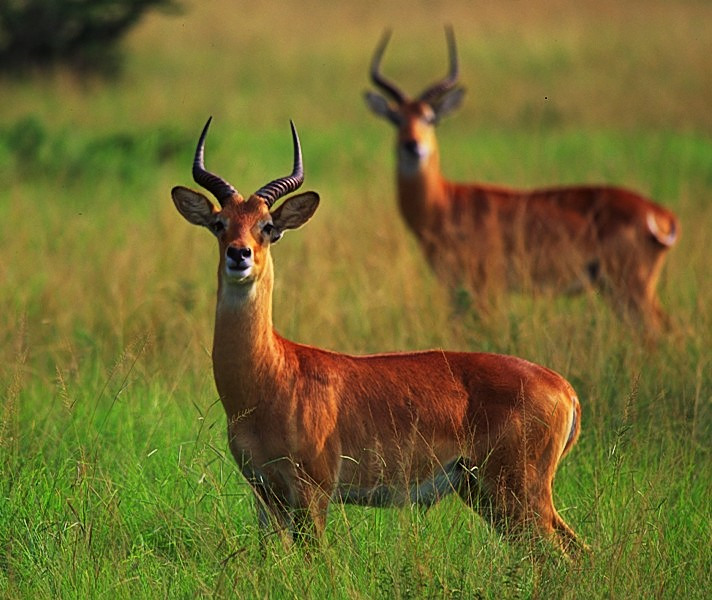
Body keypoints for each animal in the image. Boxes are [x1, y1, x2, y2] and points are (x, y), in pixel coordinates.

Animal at [171, 117, 585, 556]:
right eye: (220, 224)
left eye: (267, 227)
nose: (240, 254)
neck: (271, 375)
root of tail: (564, 389)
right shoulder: (265, 494)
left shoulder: (314, 493)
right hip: (486, 494)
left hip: (517, 494)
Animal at [365, 27, 679, 330]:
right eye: (395, 118)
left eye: (431, 118)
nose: (412, 146)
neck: (445, 205)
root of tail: (660, 214)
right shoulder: (456, 288)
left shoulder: (483, 286)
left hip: (632, 287)